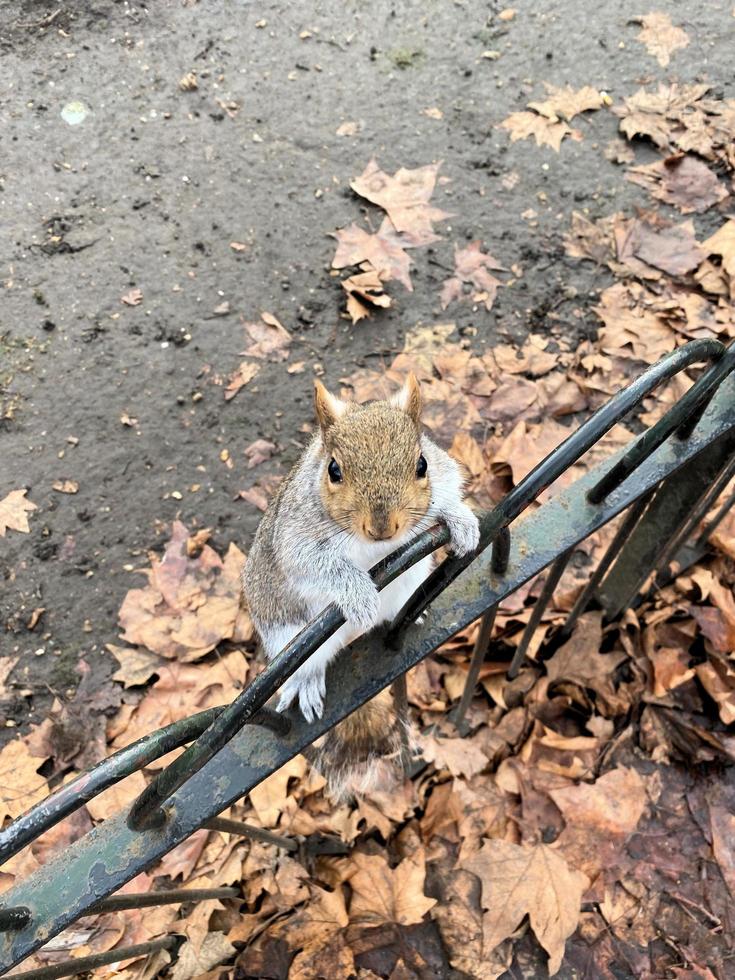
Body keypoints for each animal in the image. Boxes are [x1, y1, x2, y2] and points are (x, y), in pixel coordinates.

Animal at [242, 372, 484, 800]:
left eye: (422, 464)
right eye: (334, 471)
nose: (382, 526)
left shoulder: (444, 473)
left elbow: (448, 495)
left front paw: (461, 519)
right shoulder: (295, 540)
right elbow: (319, 566)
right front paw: (357, 593)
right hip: (284, 631)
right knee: (310, 662)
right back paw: (306, 680)